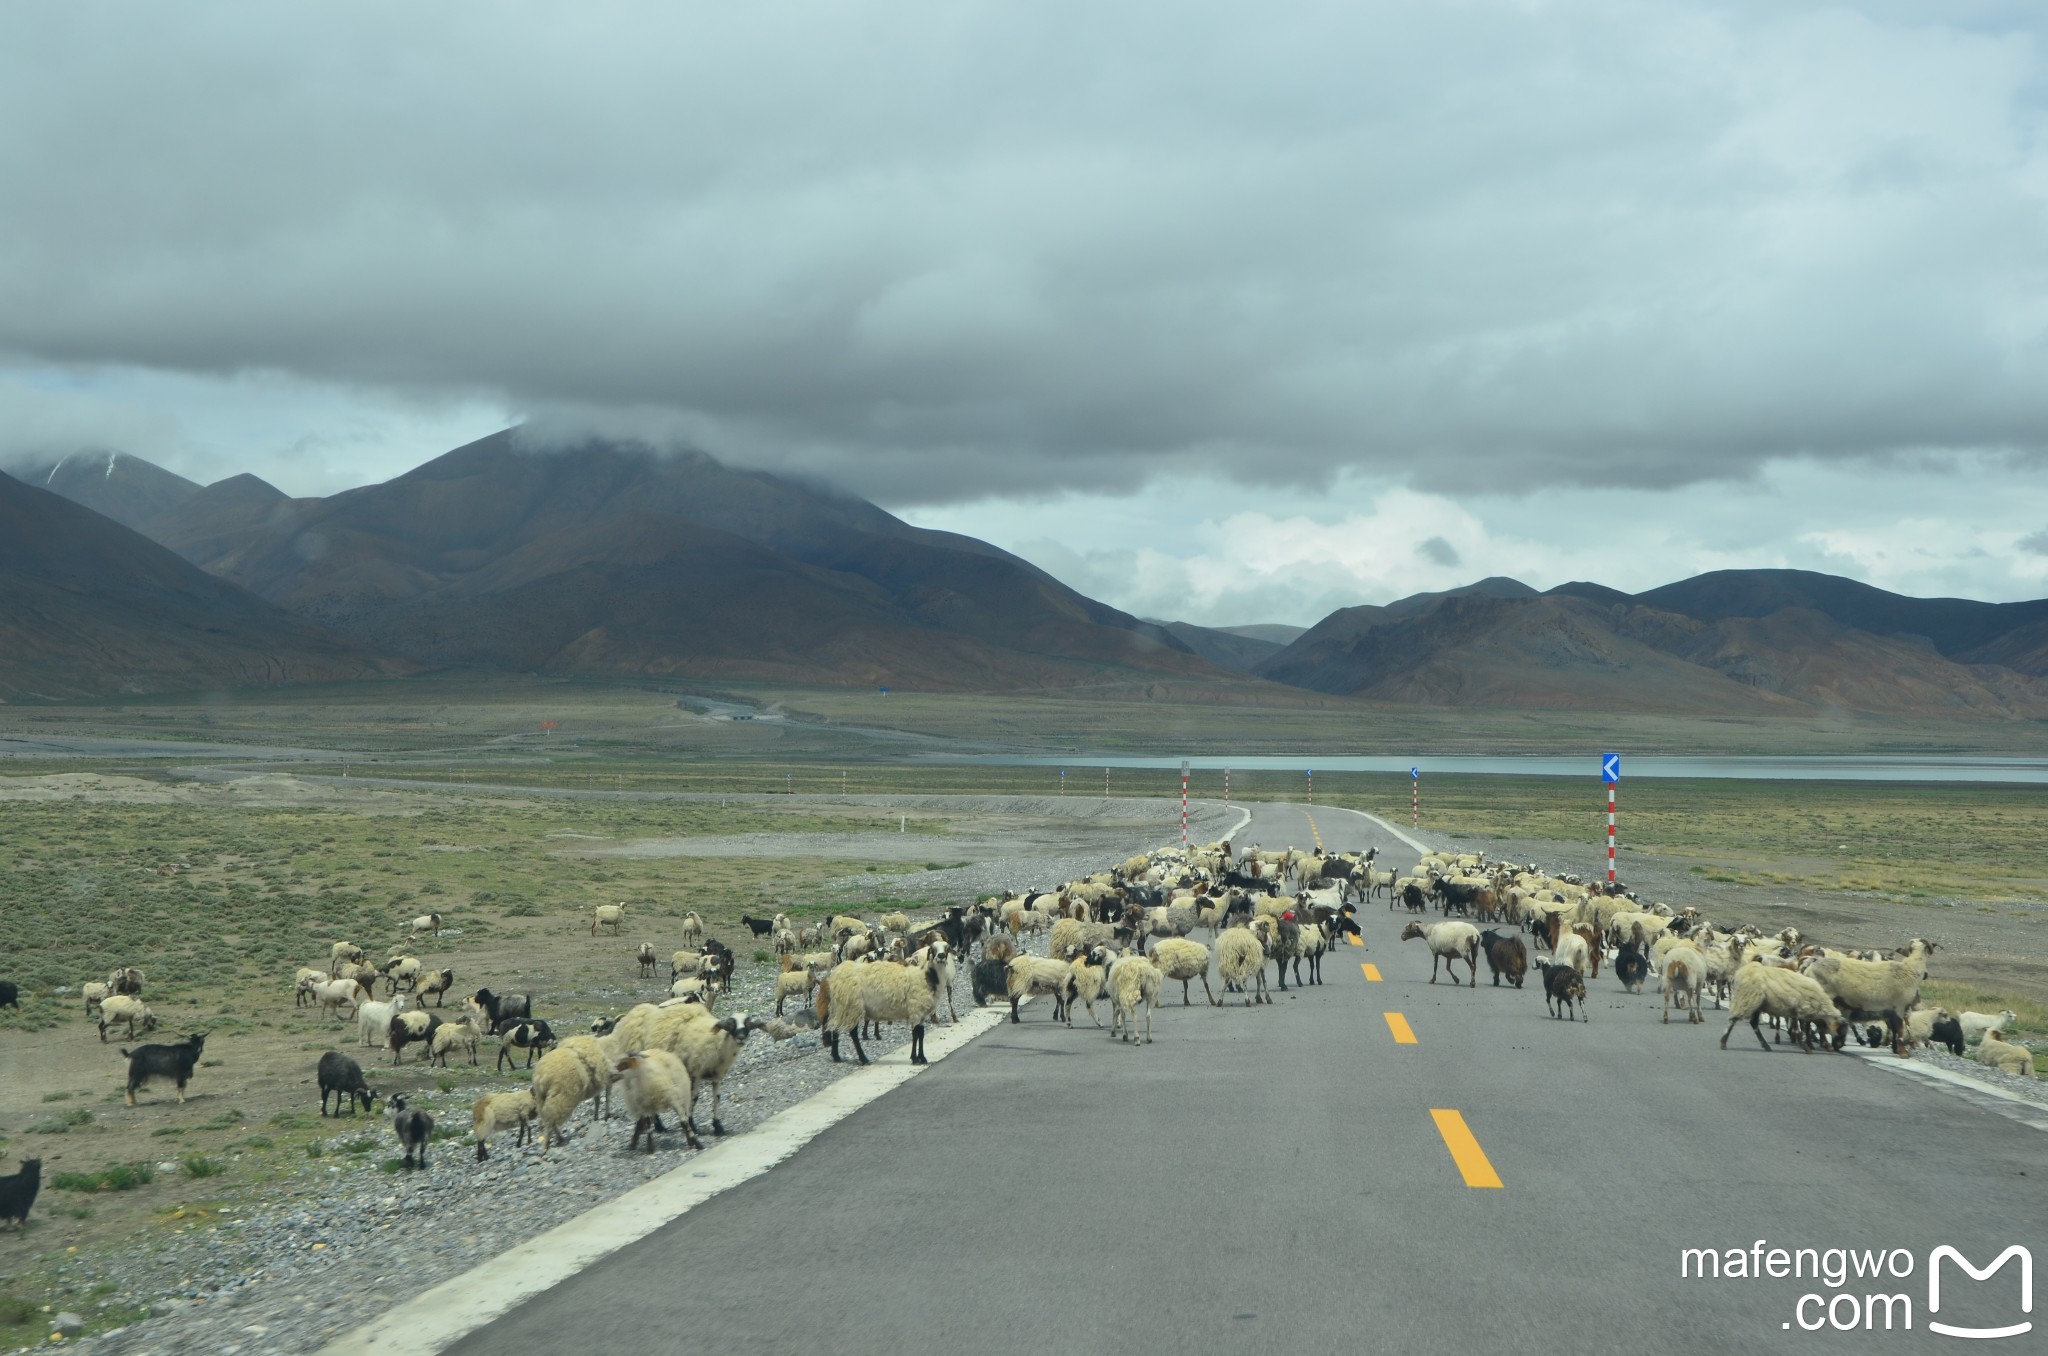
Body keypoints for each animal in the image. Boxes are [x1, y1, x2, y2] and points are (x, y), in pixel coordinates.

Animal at [1720, 962, 1851, 1056]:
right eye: (1841, 1030)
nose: (1840, 1046)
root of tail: (1740, 972)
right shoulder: (1799, 1011)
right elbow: (1800, 1030)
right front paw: (1806, 1046)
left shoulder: (1795, 1012)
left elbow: (1813, 1028)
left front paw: (1810, 1042)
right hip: (1747, 999)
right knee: (1733, 1020)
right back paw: (1723, 1042)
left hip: (1756, 1003)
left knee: (1753, 1024)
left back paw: (1765, 1045)